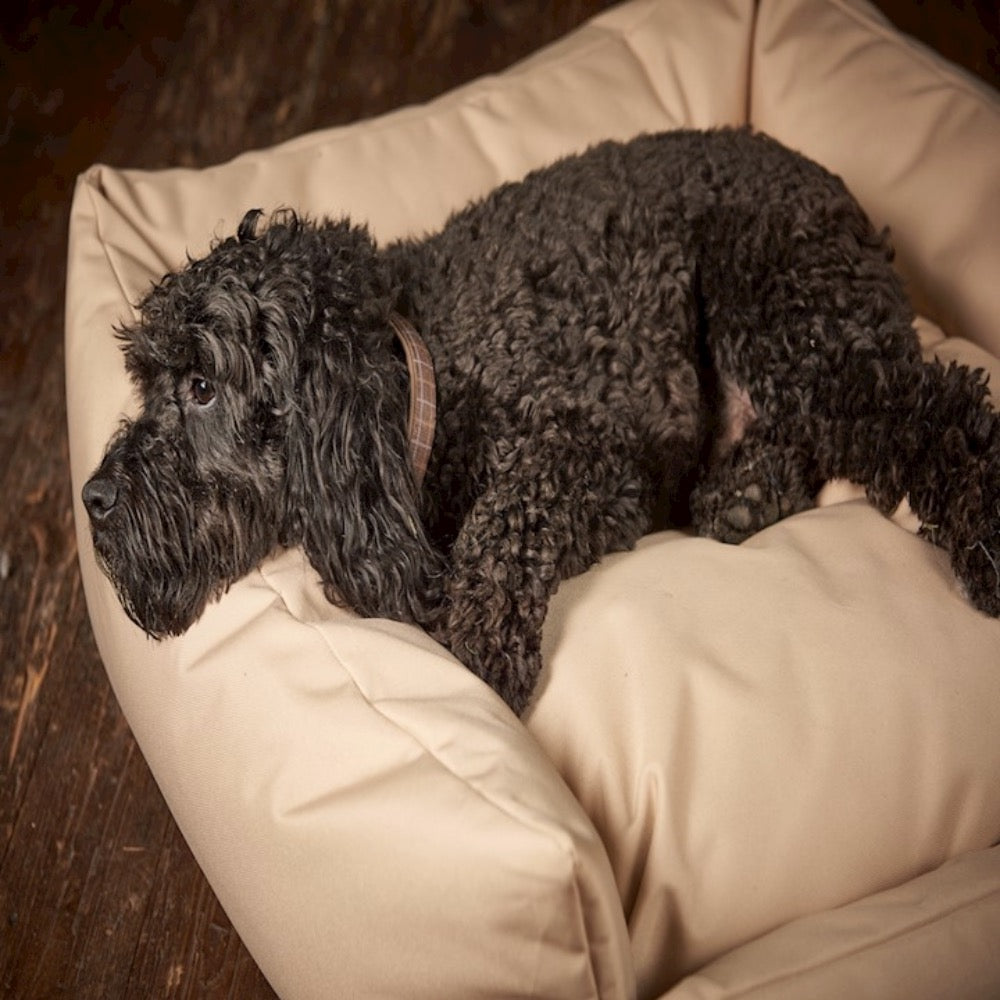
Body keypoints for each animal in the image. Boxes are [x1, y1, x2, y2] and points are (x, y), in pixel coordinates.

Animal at [84, 129, 1000, 716]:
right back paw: (741, 494)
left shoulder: (585, 450)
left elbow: (505, 520)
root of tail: (843, 196)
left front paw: (480, 649)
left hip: (793, 323)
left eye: (202, 385)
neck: (424, 360)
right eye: (147, 383)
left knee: (940, 412)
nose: (93, 500)